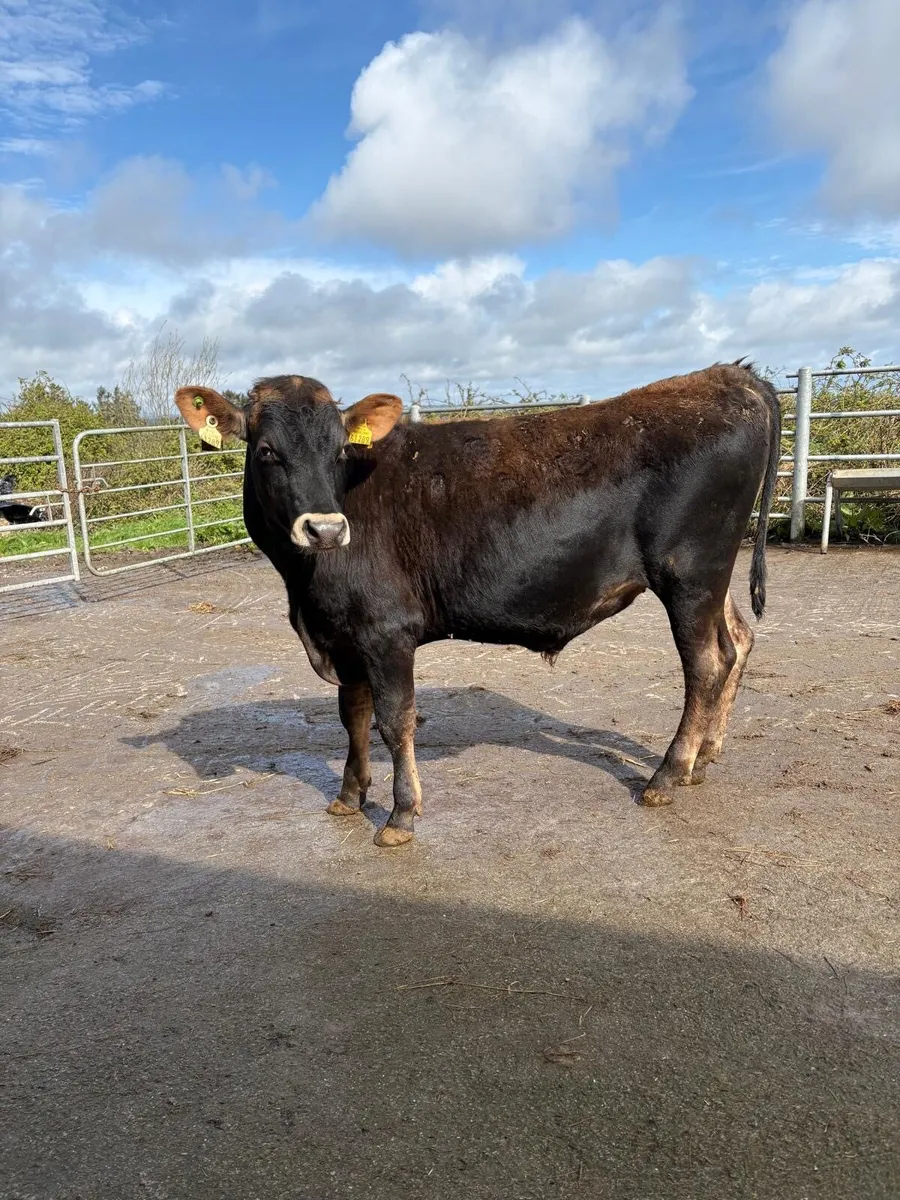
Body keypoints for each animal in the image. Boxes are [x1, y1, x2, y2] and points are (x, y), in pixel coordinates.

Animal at [176, 362, 781, 847]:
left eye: (340, 450)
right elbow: (353, 715)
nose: (326, 529)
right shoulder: (343, 635)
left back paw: (667, 775)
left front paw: (400, 815)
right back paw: (704, 757)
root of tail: (728, 375)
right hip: (712, 576)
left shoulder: (386, 631)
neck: (305, 591)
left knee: (706, 664)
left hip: (689, 572)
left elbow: (395, 720)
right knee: (737, 639)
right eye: (266, 450)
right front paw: (349, 797)